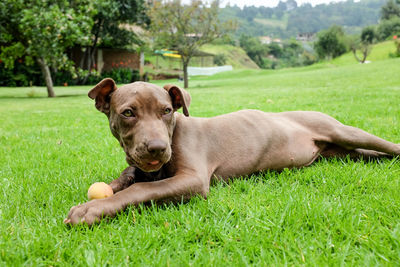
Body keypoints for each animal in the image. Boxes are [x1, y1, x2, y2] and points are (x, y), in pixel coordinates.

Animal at [64, 78, 398, 225]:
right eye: (128, 113)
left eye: (167, 111)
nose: (158, 148)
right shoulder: (142, 166)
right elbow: (126, 178)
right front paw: (107, 190)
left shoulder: (193, 179)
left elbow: (141, 190)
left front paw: (92, 209)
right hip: (345, 152)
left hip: (343, 131)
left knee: (387, 146)